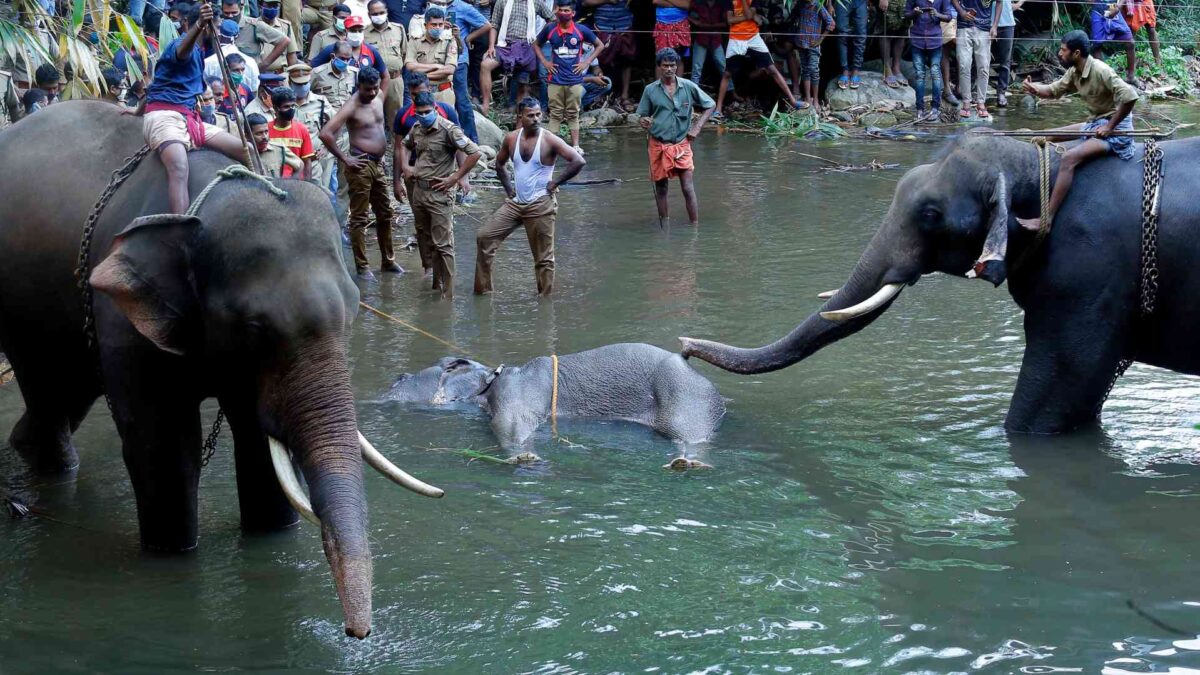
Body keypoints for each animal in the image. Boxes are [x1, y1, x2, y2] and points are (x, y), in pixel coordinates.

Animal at [0, 100, 446, 634]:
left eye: (355, 310)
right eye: (253, 328)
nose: (357, 632)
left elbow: (256, 442)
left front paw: (270, 537)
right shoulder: (122, 318)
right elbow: (166, 447)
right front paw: (172, 554)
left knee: (67, 391)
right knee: (47, 387)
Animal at [386, 343, 720, 449]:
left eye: (403, 378)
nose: (395, 378)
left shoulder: (516, 396)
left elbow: (512, 426)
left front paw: (524, 457)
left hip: (685, 399)